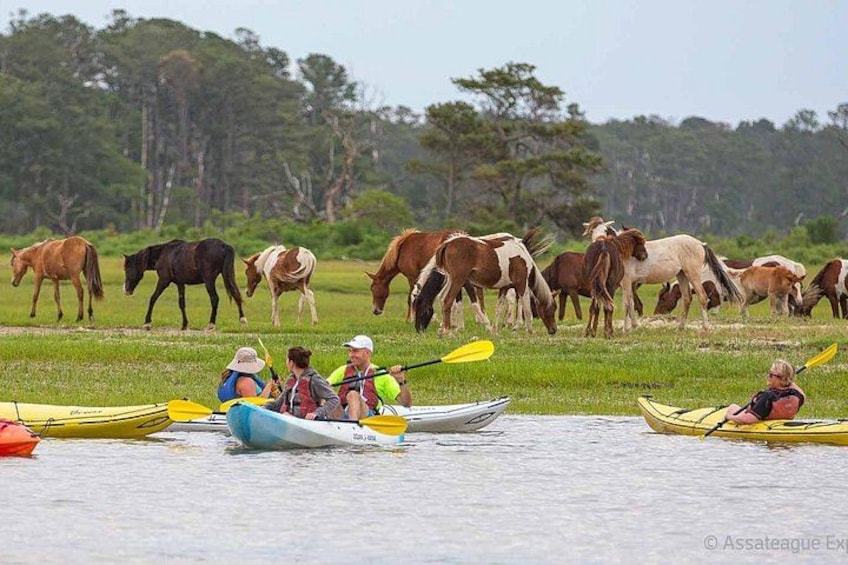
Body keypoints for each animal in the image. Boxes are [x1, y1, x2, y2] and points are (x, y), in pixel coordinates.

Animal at [413, 233, 557, 335]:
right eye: (551, 308)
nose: (554, 330)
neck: (522, 257)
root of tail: (447, 244)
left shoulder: (504, 288)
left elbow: (499, 308)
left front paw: (494, 329)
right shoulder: (521, 284)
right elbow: (526, 306)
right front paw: (530, 330)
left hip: (453, 281)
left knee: (443, 299)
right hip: (457, 281)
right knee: (447, 301)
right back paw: (447, 331)